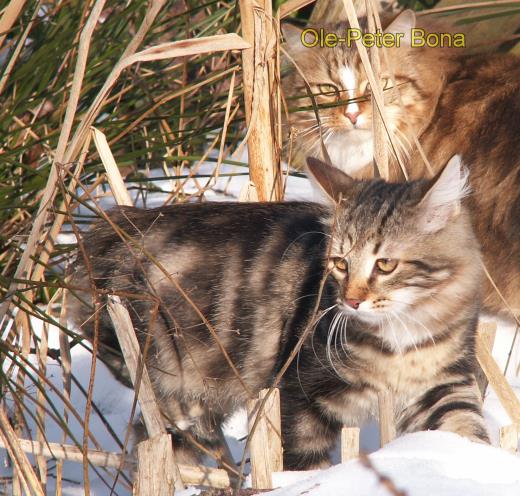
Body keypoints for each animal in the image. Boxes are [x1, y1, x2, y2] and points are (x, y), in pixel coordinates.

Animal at [71, 157, 490, 470]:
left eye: (385, 264)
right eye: (340, 263)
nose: (351, 301)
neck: (402, 338)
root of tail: (102, 233)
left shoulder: (443, 385)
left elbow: (467, 432)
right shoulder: (300, 394)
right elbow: (303, 464)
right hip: (170, 380)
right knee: (157, 439)